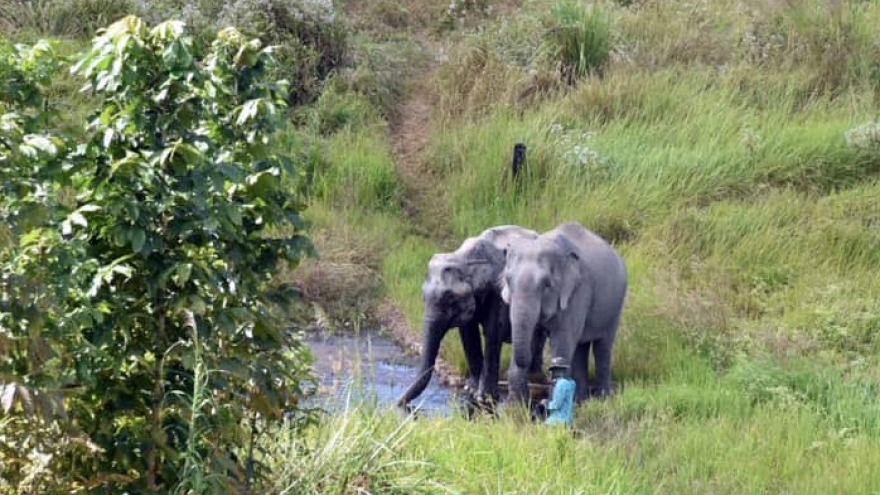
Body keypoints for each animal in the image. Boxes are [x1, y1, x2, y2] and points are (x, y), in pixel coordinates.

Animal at [396, 227, 548, 408]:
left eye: (450, 298)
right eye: (423, 296)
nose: (398, 404)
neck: (465, 259)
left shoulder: (498, 291)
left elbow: (493, 332)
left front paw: (484, 399)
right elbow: (468, 333)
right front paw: (470, 389)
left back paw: (534, 377)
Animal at [498, 223, 628, 404]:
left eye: (546, 284)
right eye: (508, 280)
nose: (536, 377)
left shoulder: (579, 290)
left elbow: (563, 338)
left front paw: (549, 404)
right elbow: (532, 334)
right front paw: (515, 406)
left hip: (615, 305)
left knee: (603, 346)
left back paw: (602, 398)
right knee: (581, 346)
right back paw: (580, 400)